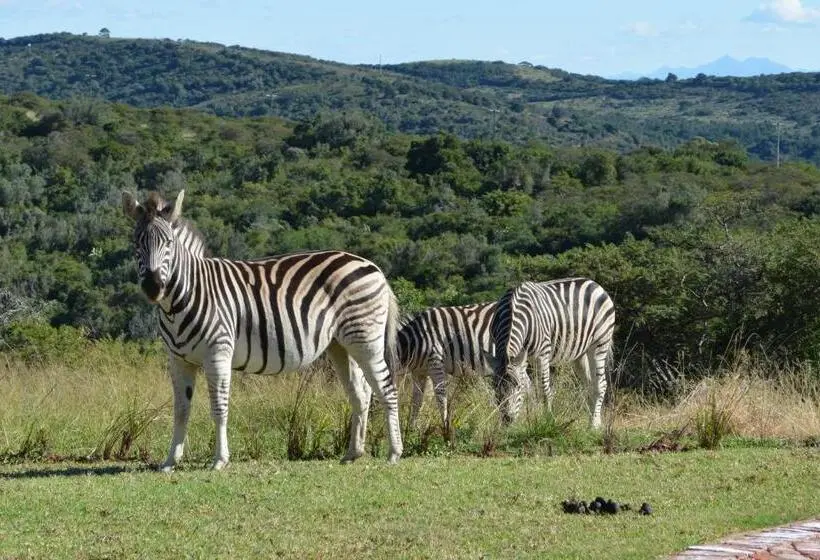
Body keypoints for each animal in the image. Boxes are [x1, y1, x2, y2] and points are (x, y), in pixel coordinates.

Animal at [121, 190, 403, 470]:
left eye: (168, 243)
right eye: (136, 243)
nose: (153, 287)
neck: (184, 297)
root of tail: (373, 266)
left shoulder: (218, 353)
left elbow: (219, 407)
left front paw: (220, 460)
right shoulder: (178, 360)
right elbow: (181, 410)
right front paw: (170, 461)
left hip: (366, 339)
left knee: (387, 389)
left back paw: (394, 453)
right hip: (341, 345)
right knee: (361, 393)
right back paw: (353, 453)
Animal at [489, 278, 615, 428]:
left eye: (518, 387)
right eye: (495, 388)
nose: (507, 420)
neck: (512, 311)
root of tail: (594, 283)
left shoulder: (542, 354)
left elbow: (544, 390)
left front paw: (547, 420)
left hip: (600, 343)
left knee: (600, 384)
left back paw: (594, 425)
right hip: (580, 354)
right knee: (590, 384)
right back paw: (591, 422)